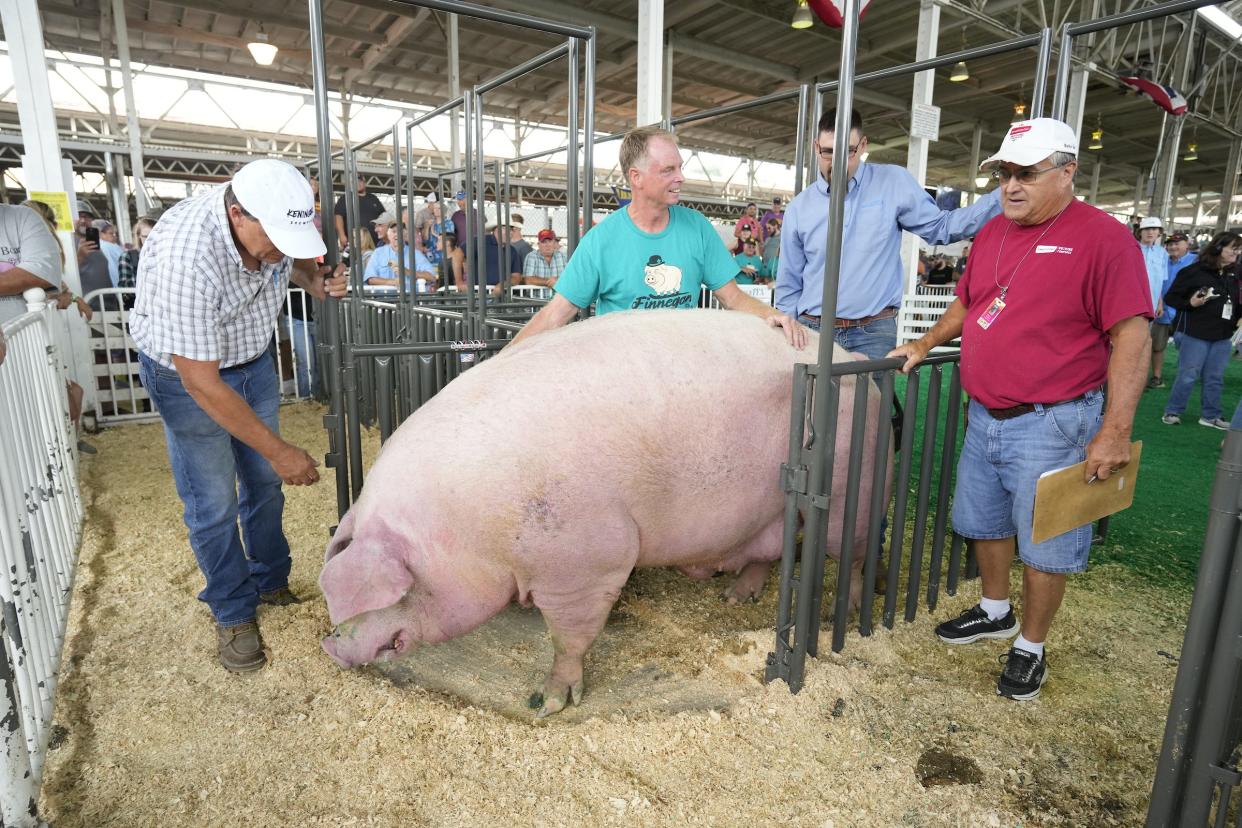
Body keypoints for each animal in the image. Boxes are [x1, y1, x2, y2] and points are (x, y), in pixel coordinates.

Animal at [320, 310, 884, 720]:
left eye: (399, 589)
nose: (332, 646)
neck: (469, 524)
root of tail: (851, 357)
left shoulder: (588, 561)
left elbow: (568, 637)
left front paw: (549, 704)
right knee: (770, 549)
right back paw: (735, 596)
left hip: (851, 489)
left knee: (853, 555)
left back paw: (856, 612)